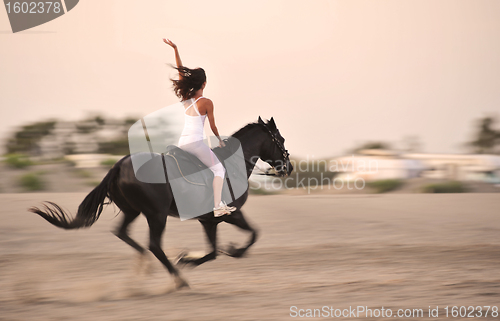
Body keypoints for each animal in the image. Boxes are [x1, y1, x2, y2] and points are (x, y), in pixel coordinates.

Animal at [29, 115, 292, 288]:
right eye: (280, 139)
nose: (288, 167)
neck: (232, 165)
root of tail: (119, 165)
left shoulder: (209, 221)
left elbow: (213, 252)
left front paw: (188, 258)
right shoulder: (231, 214)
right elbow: (252, 235)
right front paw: (231, 250)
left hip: (133, 211)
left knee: (124, 234)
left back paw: (146, 266)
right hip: (157, 214)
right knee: (154, 245)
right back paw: (179, 280)